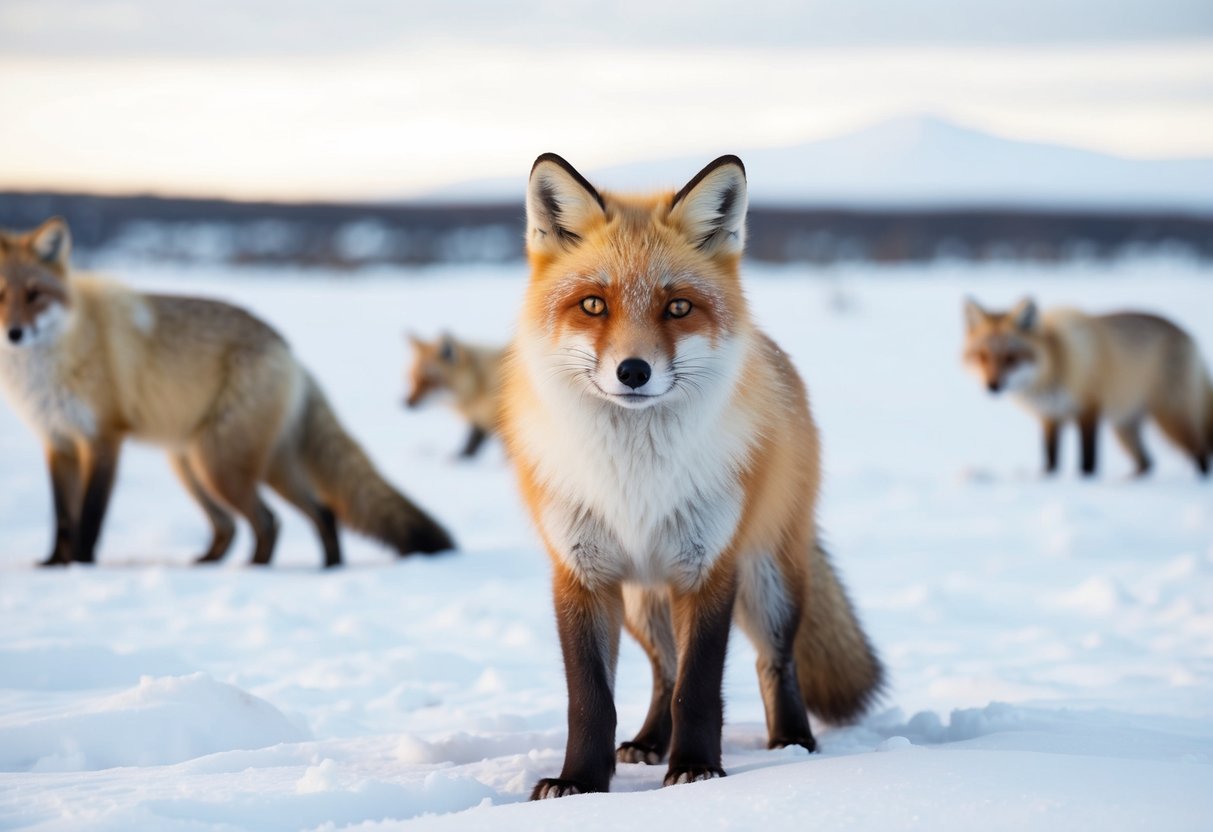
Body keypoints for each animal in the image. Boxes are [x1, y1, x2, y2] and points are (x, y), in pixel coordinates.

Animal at [0, 217, 456, 568]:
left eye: (34, 294)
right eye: (1, 294)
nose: (14, 334)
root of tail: (288, 350)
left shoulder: (103, 438)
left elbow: (89, 518)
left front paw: (80, 565)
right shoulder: (57, 440)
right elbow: (62, 517)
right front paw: (55, 564)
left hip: (220, 465)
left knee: (270, 520)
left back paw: (258, 570)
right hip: (203, 464)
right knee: (279, 518)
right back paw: (305, 566)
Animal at [501, 153, 884, 799]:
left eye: (677, 307)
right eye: (594, 304)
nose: (633, 371)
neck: (635, 479)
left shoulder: (710, 567)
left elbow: (700, 688)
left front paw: (696, 769)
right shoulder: (580, 572)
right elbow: (591, 699)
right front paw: (579, 781)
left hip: (768, 577)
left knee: (772, 661)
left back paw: (793, 743)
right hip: (643, 599)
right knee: (663, 670)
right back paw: (649, 742)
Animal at [963, 296, 1212, 477]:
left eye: (1011, 358)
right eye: (982, 356)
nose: (992, 385)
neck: (1057, 360)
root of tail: (1189, 335)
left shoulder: (1088, 409)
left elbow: (1087, 460)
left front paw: (1086, 484)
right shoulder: (1050, 416)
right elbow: (1051, 459)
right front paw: (1049, 479)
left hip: (1171, 418)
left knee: (1200, 451)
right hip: (1124, 426)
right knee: (1148, 463)